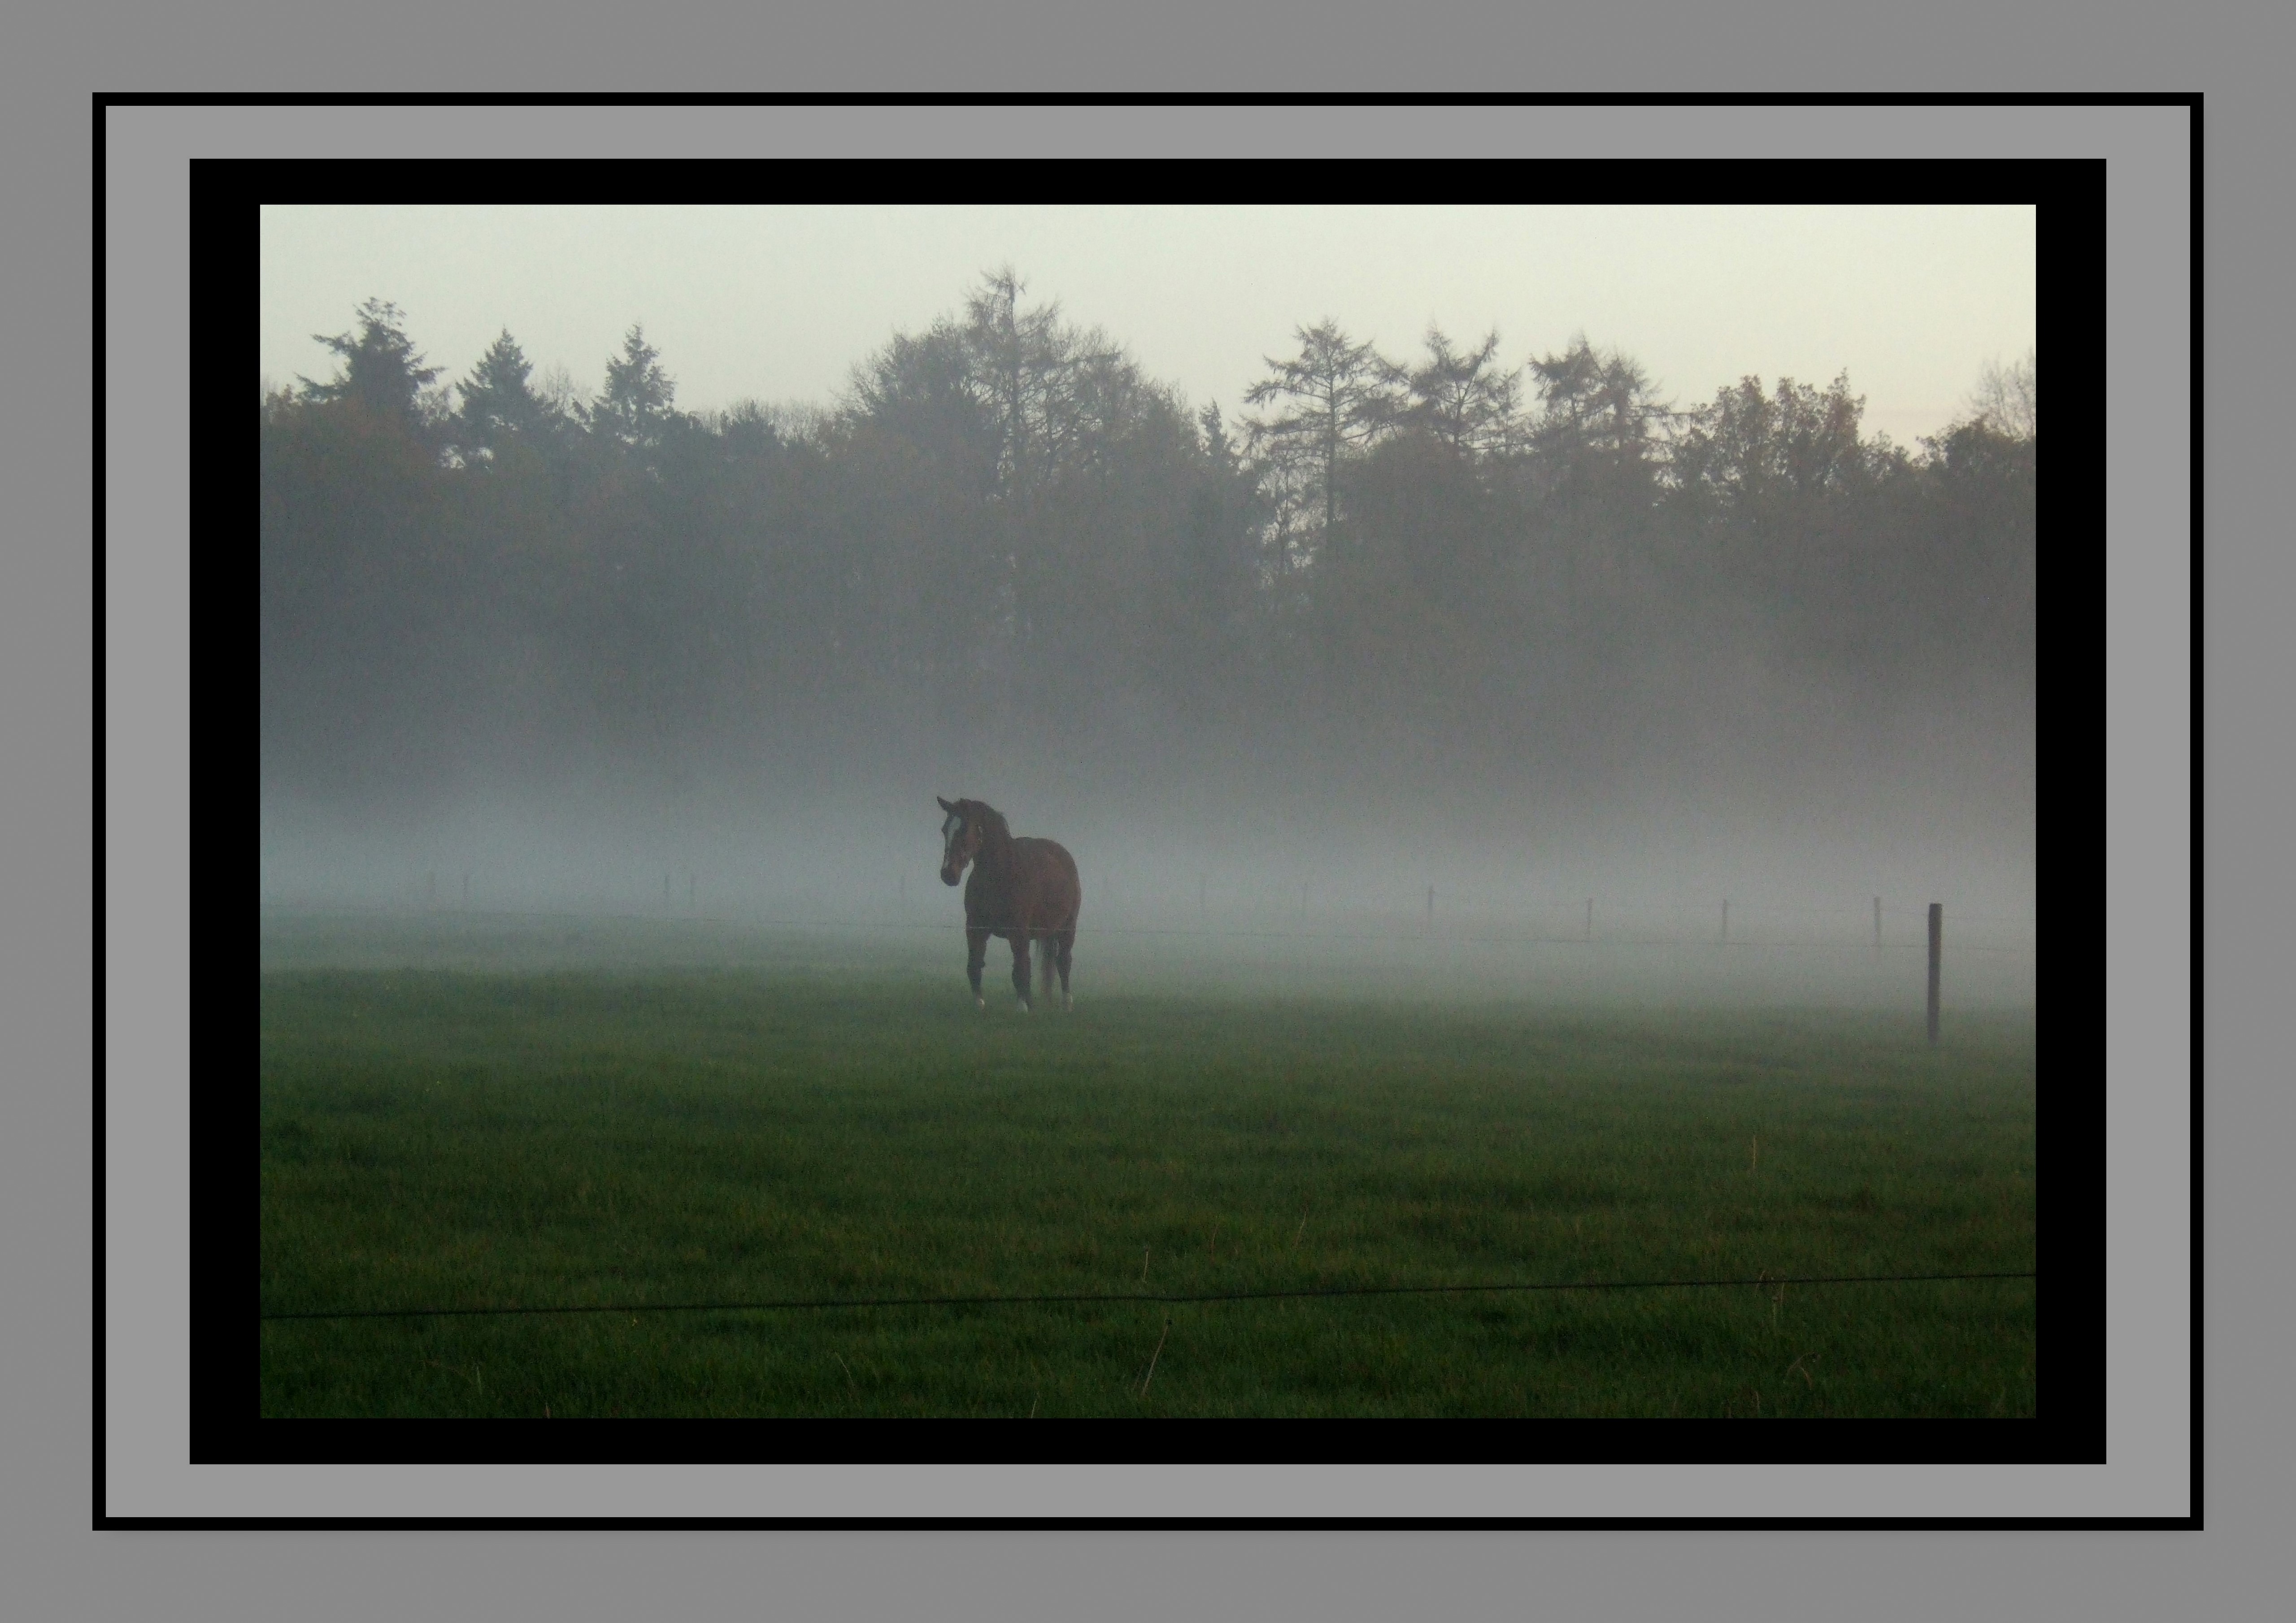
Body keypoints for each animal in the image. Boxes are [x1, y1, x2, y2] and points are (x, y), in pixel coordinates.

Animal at [936, 796, 1082, 1013]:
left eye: (965, 829)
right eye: (945, 829)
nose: (948, 874)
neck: (1000, 876)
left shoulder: (1018, 932)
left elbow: (1020, 970)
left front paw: (1022, 1008)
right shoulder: (975, 929)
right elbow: (974, 966)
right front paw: (979, 1005)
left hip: (1067, 927)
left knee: (1063, 962)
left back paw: (1067, 1003)